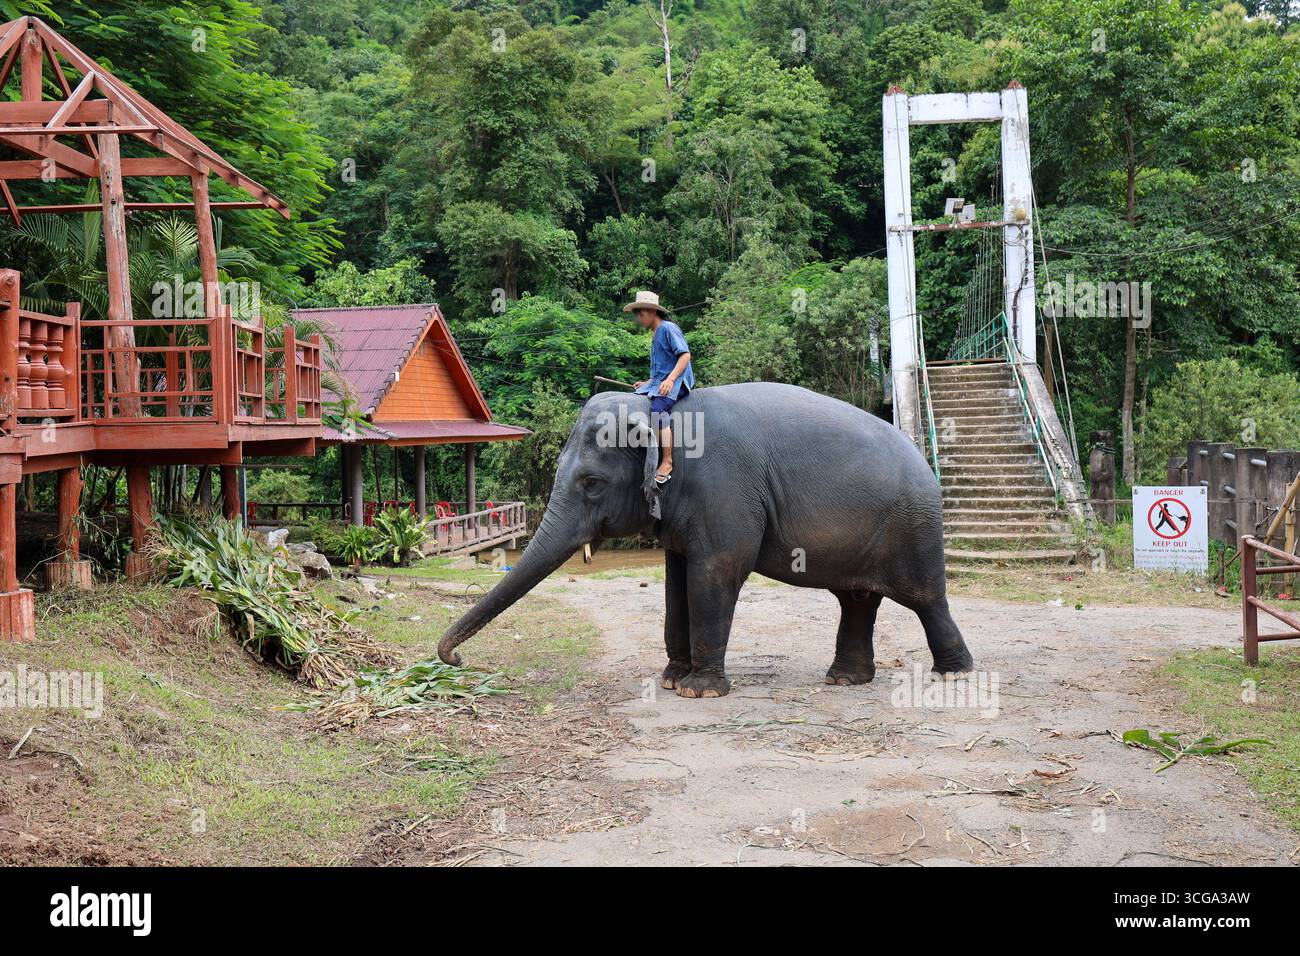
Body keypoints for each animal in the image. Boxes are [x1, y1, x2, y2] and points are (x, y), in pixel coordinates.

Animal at [438, 383, 975, 698]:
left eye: (591, 483)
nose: (456, 659)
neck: (661, 414)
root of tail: (923, 458)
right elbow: (676, 582)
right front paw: (673, 680)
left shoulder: (724, 493)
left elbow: (716, 572)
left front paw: (700, 691)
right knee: (857, 600)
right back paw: (844, 679)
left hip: (914, 525)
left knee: (925, 597)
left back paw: (954, 673)